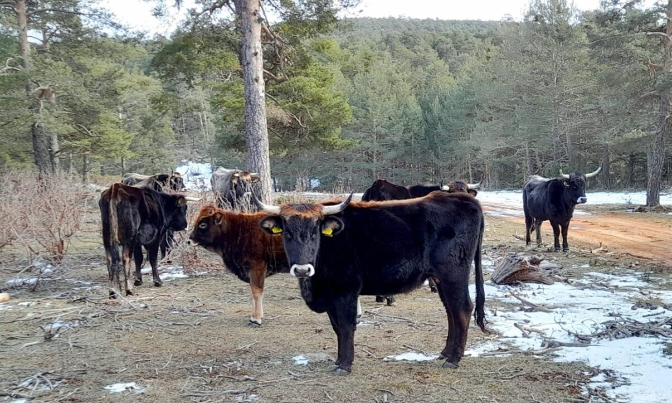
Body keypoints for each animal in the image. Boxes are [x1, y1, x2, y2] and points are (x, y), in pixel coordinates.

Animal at [255, 193, 486, 376]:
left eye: (315, 232)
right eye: (287, 233)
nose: (302, 270)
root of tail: (462, 198)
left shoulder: (346, 291)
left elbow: (346, 326)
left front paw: (345, 364)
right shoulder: (331, 297)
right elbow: (336, 327)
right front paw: (339, 359)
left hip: (453, 274)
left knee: (462, 309)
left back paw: (454, 359)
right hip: (440, 279)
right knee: (450, 311)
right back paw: (445, 352)